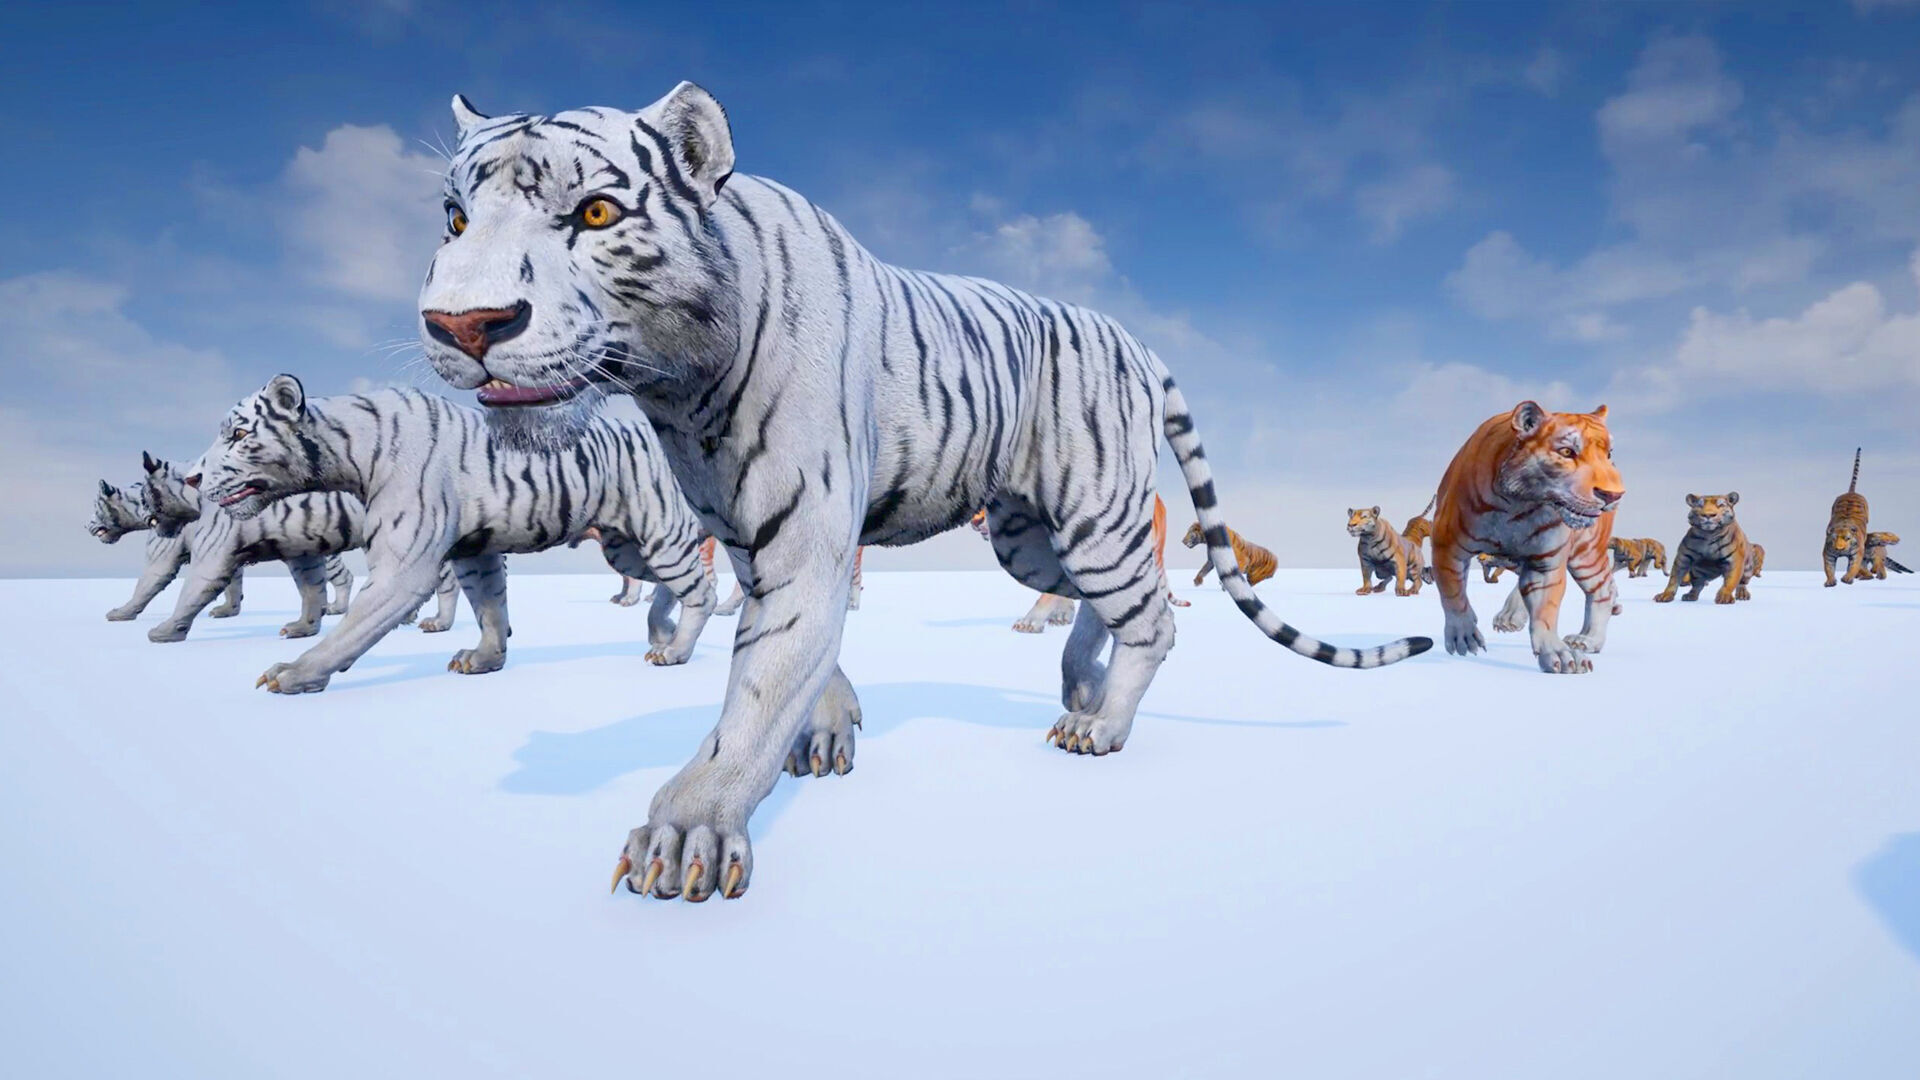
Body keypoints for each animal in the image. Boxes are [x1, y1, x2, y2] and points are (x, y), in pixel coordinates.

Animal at [189, 376, 717, 694]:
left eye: (238, 435)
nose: (192, 477)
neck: (347, 452)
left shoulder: (402, 571)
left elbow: (349, 632)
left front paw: (294, 673)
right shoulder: (474, 552)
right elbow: (490, 608)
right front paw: (485, 660)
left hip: (660, 533)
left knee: (703, 590)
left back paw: (675, 650)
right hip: (626, 547)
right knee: (673, 583)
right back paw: (660, 629)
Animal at [416, 85, 1429, 903]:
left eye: (594, 212)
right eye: (456, 220)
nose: (462, 325)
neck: (676, 385)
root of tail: (1136, 340)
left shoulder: (807, 534)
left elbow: (759, 684)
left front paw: (689, 832)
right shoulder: (743, 532)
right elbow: (803, 657)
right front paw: (826, 734)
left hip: (1096, 515)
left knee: (1150, 616)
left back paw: (1103, 726)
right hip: (1030, 537)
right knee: (1093, 603)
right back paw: (1081, 687)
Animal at [1431, 401, 1623, 674]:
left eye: (1608, 454)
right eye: (1567, 452)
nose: (1613, 494)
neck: (1518, 505)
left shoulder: (1547, 562)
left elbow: (1545, 612)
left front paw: (1559, 654)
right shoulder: (1447, 544)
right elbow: (1453, 593)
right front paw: (1463, 636)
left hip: (1587, 553)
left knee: (1604, 588)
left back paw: (1587, 639)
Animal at [1825, 448, 1870, 587]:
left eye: (1848, 538)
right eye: (1834, 538)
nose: (1840, 549)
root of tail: (1851, 492)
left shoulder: (1857, 553)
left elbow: (1854, 567)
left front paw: (1847, 578)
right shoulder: (1828, 553)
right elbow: (1828, 568)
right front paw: (1830, 582)